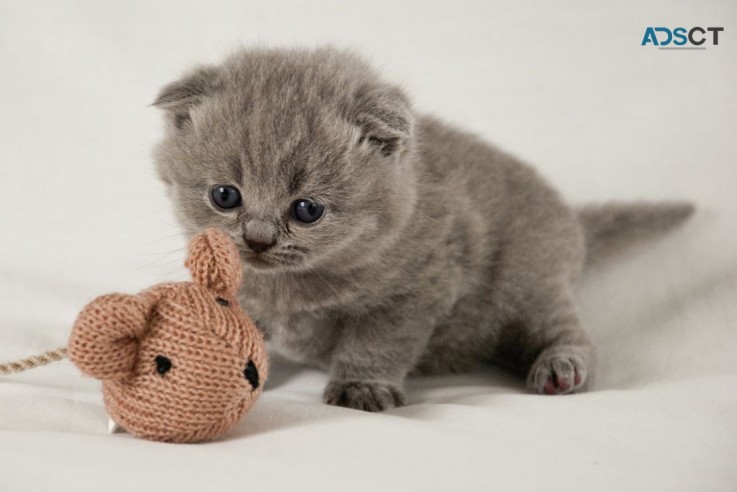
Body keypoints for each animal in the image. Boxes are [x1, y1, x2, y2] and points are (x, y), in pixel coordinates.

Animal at [152, 47, 692, 412]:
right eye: (225, 196)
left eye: (307, 210)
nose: (259, 239)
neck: (287, 288)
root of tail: (570, 218)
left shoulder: (414, 292)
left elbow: (377, 342)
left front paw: (362, 388)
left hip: (534, 281)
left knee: (569, 333)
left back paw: (561, 370)